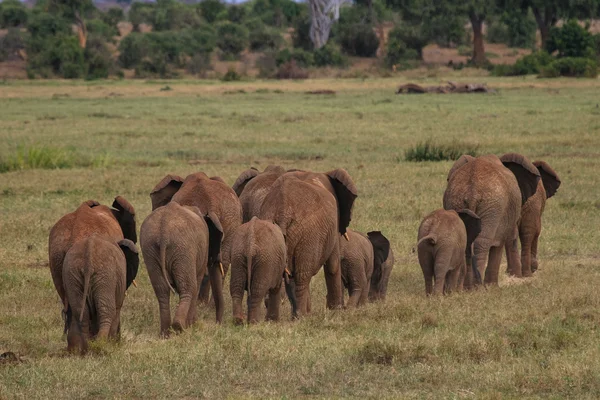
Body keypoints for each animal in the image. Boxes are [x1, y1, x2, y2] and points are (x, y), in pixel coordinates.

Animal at [140, 202, 223, 336]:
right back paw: (179, 327)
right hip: (183, 249)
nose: (218, 325)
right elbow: (197, 281)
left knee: (162, 291)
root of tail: (164, 230)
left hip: (150, 249)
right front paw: (193, 326)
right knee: (189, 287)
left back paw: (165, 334)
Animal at [258, 168, 356, 316]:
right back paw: (302, 316)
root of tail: (283, 211)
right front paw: (336, 310)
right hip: (309, 236)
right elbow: (333, 265)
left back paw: (276, 318)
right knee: (302, 276)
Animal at [442, 153, 540, 288]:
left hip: (457, 201)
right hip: (493, 207)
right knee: (482, 242)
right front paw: (493, 286)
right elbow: (500, 243)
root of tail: (472, 191)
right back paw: (476, 287)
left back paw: (466, 287)